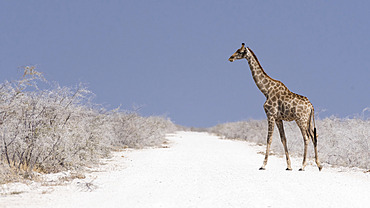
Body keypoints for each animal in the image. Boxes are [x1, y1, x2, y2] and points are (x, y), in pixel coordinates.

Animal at [227, 43, 322, 171]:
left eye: (240, 51)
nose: (230, 58)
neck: (265, 90)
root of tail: (311, 106)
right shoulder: (278, 118)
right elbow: (283, 139)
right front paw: (289, 166)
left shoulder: (270, 115)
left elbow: (269, 139)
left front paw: (263, 165)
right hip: (308, 120)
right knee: (314, 135)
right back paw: (319, 165)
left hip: (300, 119)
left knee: (306, 137)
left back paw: (302, 166)